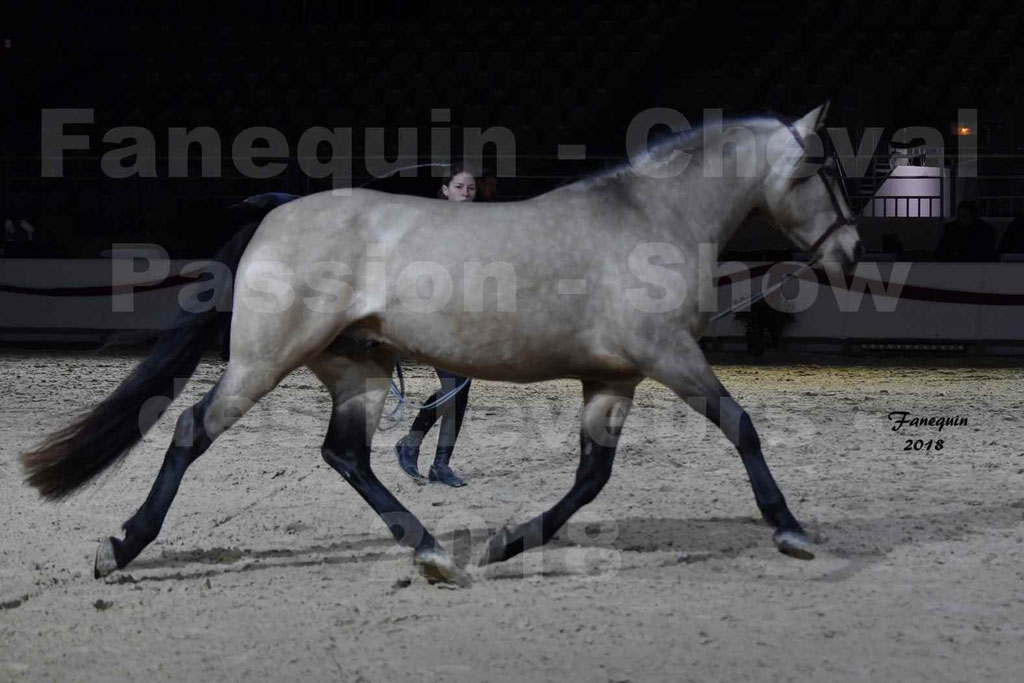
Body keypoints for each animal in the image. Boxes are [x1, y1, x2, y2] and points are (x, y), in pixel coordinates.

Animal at [21, 103, 861, 587]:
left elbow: (591, 476)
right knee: (194, 430)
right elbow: (741, 426)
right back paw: (120, 547)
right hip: (263, 361)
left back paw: (431, 552)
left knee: (346, 455)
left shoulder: (613, 378)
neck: (651, 217)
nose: (851, 253)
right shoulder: (668, 356)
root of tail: (277, 211)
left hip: (358, 368)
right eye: (823, 168)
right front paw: (790, 530)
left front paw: (507, 542)